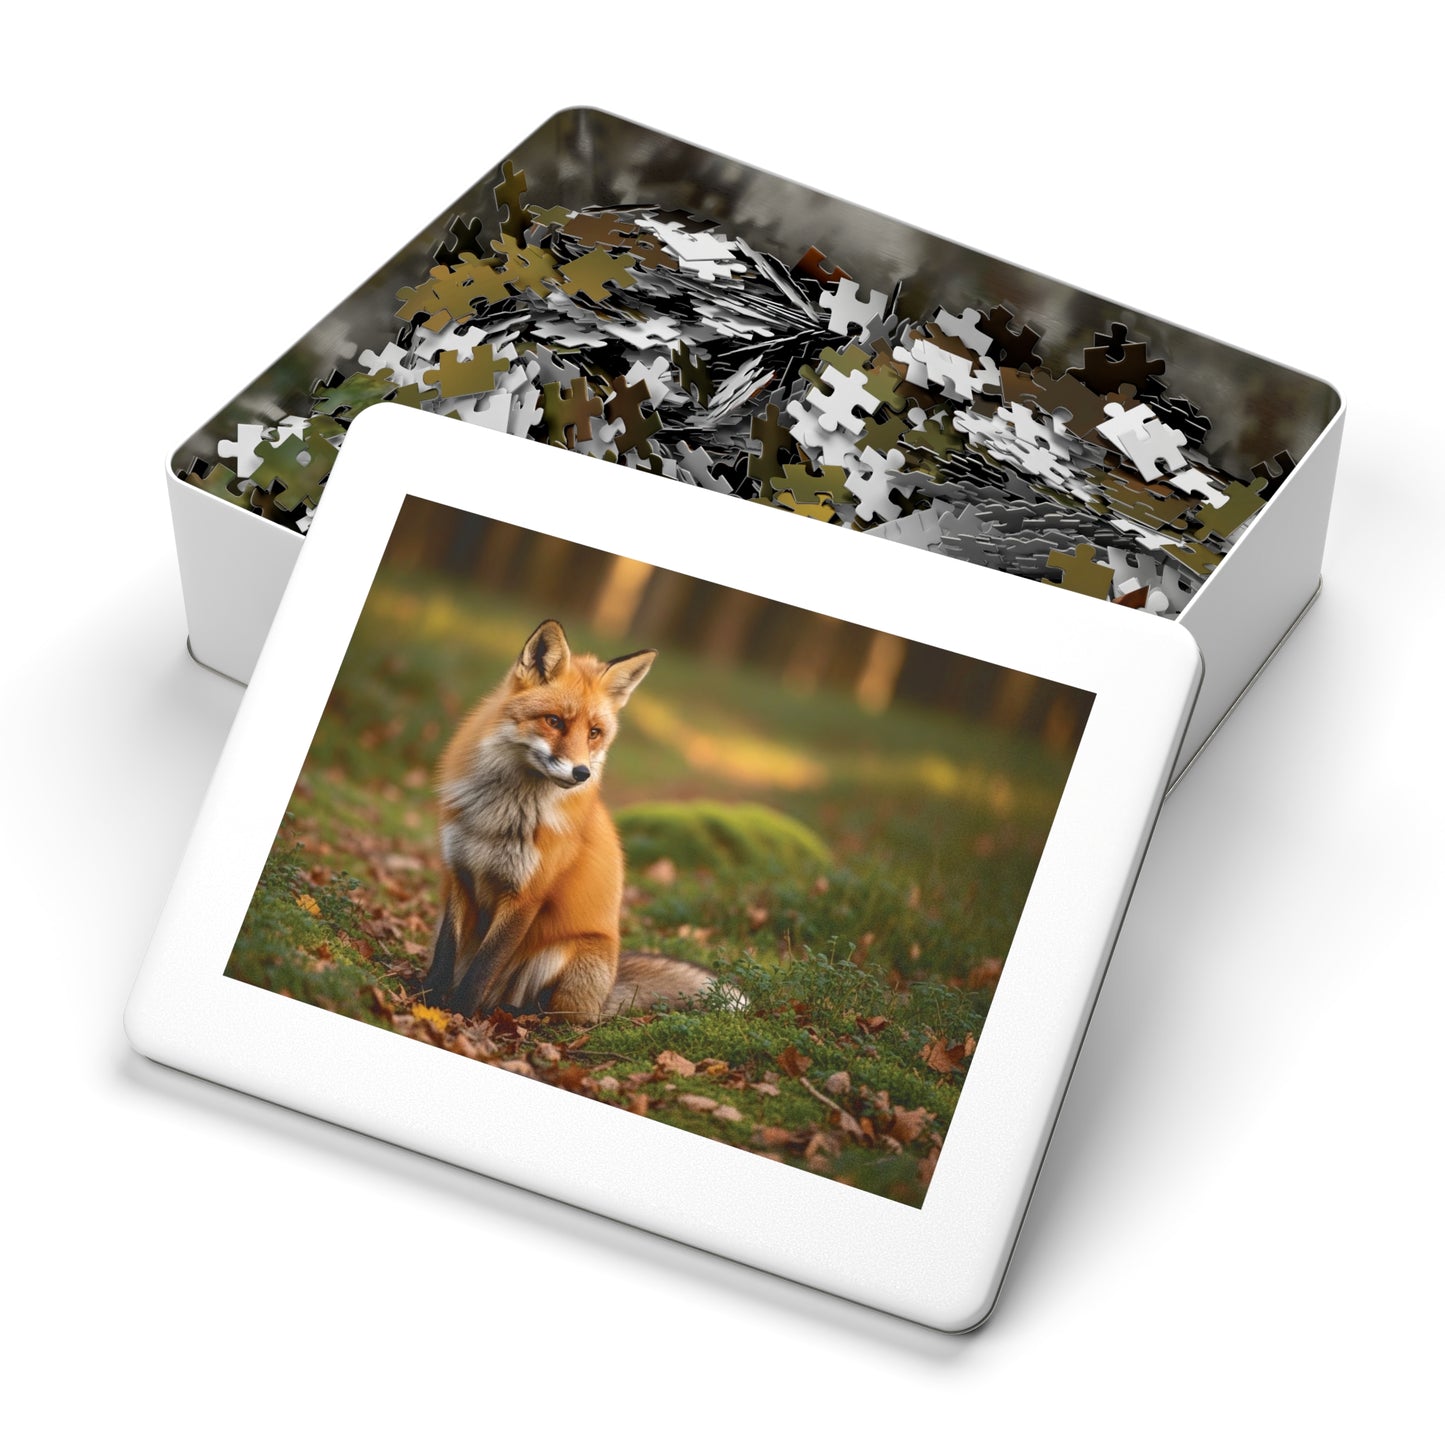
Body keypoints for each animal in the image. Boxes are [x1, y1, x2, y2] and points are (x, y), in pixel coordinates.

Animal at [421, 618, 722, 1024]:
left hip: (561, 956)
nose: (582, 773)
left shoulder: (527, 896)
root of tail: (609, 988)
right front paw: (427, 1001)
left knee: (559, 1013)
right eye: (554, 721)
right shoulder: (459, 873)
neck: (500, 813)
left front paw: (459, 1015)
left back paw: (511, 1013)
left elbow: (483, 969)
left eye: (594, 732)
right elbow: (445, 954)